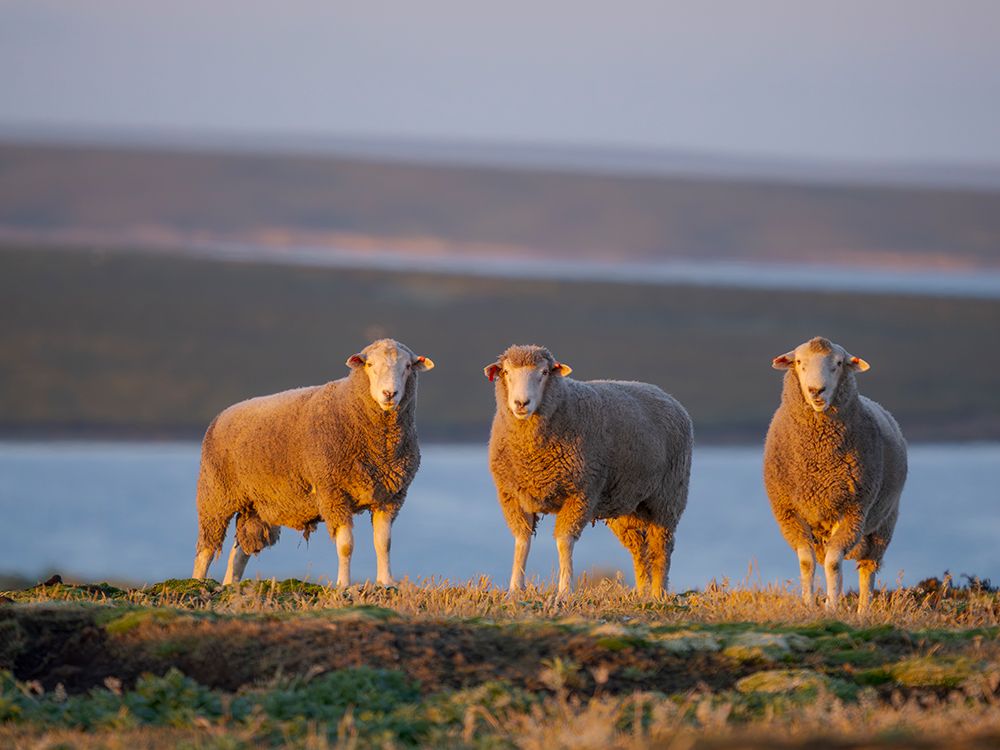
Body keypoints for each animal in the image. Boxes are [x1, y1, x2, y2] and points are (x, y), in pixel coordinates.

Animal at [191, 338, 435, 586]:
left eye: (407, 366)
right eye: (370, 365)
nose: (389, 393)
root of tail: (222, 414)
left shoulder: (390, 497)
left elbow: (383, 543)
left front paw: (386, 583)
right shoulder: (333, 492)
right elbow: (346, 546)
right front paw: (343, 585)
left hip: (257, 505)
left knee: (239, 553)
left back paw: (230, 584)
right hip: (215, 495)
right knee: (206, 550)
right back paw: (197, 582)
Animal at [484, 344, 693, 599]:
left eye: (544, 372)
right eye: (506, 372)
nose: (521, 403)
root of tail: (665, 394)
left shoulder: (581, 493)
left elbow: (564, 542)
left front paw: (564, 591)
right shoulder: (511, 496)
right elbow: (521, 541)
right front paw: (515, 589)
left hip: (668, 497)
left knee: (661, 546)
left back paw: (657, 593)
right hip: (627, 505)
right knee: (639, 548)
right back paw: (642, 591)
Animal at [763, 336, 907, 613]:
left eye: (839, 363)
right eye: (799, 362)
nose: (815, 391)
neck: (818, 459)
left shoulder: (853, 510)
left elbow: (833, 564)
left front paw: (832, 606)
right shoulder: (790, 513)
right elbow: (807, 563)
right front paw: (808, 605)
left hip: (884, 523)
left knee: (868, 569)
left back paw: (862, 612)